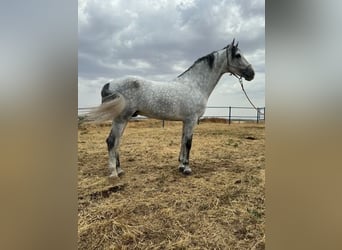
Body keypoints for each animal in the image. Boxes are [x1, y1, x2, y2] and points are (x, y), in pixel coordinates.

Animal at [89, 39, 254, 180]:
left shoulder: (186, 121)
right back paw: (113, 173)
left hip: (124, 119)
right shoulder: (191, 120)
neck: (195, 84)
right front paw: (187, 168)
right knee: (111, 141)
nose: (252, 73)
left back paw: (120, 169)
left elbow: (182, 141)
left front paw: (180, 165)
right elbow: (188, 143)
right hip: (120, 118)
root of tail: (109, 84)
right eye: (238, 55)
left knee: (117, 141)